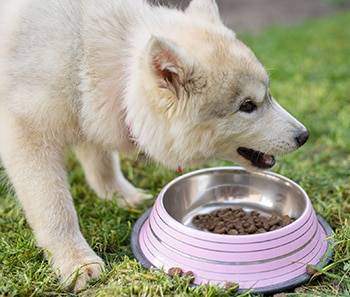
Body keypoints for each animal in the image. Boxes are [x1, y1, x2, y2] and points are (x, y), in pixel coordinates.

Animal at [0, 0, 308, 292]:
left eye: (267, 95)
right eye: (247, 106)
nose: (303, 136)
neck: (84, 54)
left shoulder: (89, 111)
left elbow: (101, 163)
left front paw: (120, 195)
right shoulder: (27, 132)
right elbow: (56, 209)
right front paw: (76, 262)